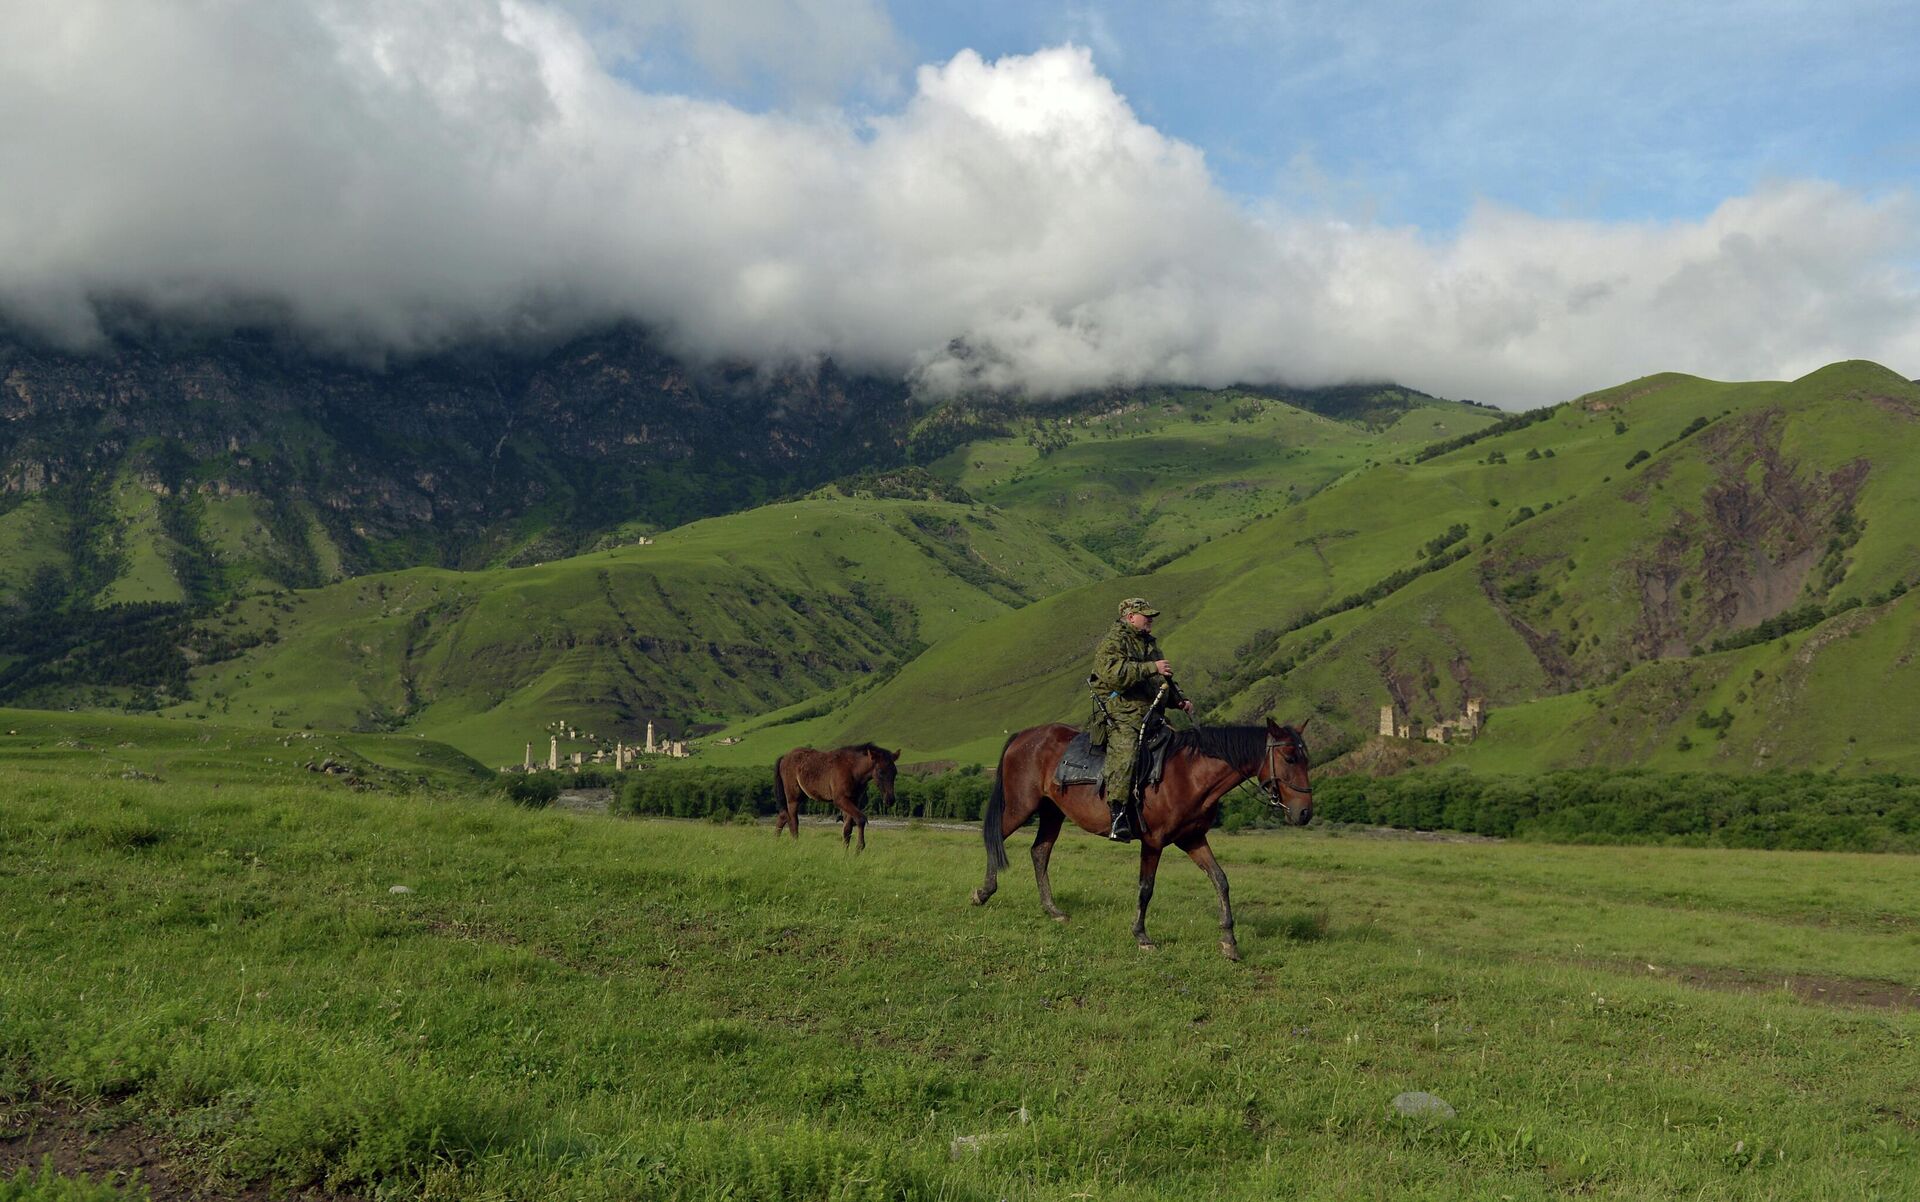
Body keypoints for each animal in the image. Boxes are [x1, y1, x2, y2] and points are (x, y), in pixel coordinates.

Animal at [975, 714, 1305, 960]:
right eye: (1289, 758)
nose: (1305, 813)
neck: (1189, 774)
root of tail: (1024, 736)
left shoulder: (1193, 839)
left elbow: (1220, 880)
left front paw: (1229, 942)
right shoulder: (1153, 841)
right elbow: (1146, 888)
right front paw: (1142, 936)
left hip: (1052, 812)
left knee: (1040, 852)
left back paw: (1053, 910)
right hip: (1020, 807)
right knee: (994, 837)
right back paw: (983, 892)